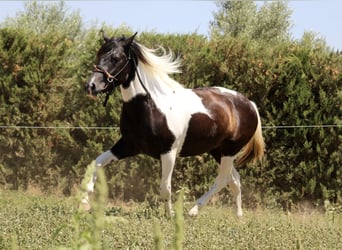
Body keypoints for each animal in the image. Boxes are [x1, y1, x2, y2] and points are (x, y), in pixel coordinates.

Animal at [83, 32, 264, 217]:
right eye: (99, 54)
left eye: (115, 58)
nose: (91, 86)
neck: (151, 106)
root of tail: (250, 104)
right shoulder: (128, 145)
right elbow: (97, 162)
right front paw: (85, 200)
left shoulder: (168, 152)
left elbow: (165, 187)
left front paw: (169, 215)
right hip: (217, 151)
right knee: (234, 179)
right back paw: (238, 215)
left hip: (230, 150)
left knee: (223, 179)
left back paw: (193, 210)